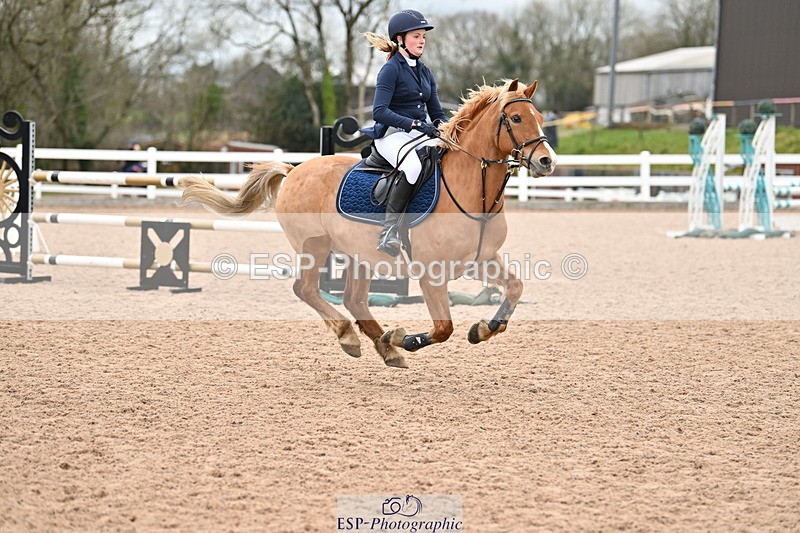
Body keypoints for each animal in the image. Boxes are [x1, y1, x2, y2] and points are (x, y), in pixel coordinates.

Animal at [181, 79, 557, 368]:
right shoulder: (431, 272)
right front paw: (406, 339)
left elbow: (515, 288)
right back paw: (354, 337)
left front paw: (483, 329)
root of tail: (294, 170)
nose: (546, 161)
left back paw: (386, 348)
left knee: (354, 300)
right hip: (315, 246)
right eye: (516, 117)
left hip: (358, 255)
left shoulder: (482, 259)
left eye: (540, 117)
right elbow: (443, 328)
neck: (472, 192)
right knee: (306, 290)